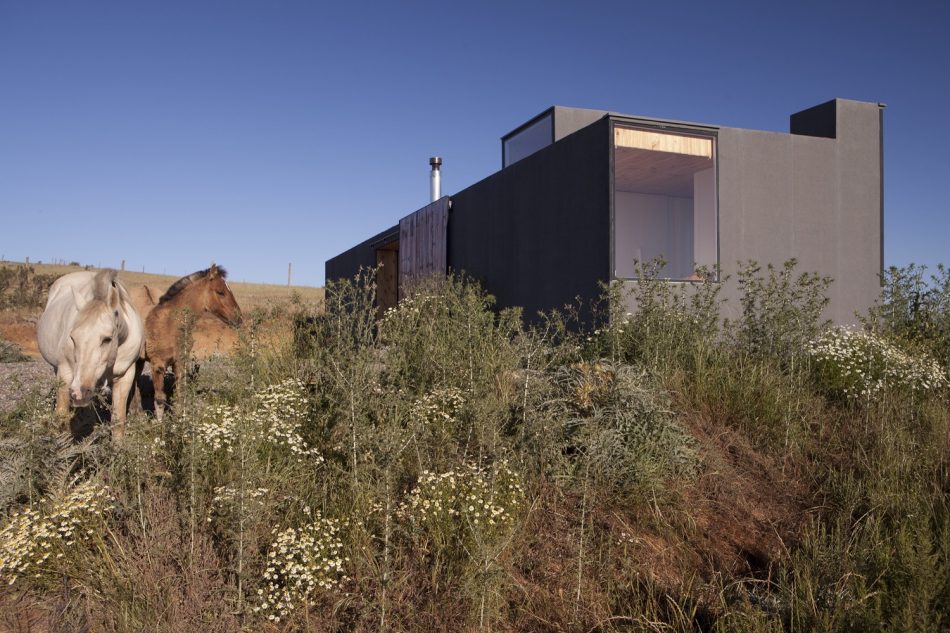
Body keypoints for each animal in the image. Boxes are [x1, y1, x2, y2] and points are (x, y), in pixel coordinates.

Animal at [37, 268, 144, 440]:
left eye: (107, 339)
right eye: (73, 338)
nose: (78, 393)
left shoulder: (125, 376)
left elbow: (118, 421)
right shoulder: (66, 373)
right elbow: (62, 415)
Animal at [146, 262, 242, 420]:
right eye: (220, 292)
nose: (239, 319)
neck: (169, 323)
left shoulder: (179, 362)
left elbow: (179, 395)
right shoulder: (157, 365)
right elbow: (160, 399)